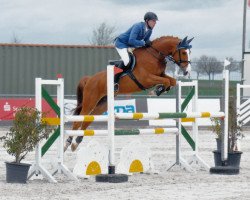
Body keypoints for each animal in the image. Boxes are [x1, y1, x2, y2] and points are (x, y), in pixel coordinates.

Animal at [64, 36, 193, 152]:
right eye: (183, 52)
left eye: (189, 52)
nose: (187, 71)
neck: (155, 55)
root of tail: (90, 79)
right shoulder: (146, 79)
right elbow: (166, 81)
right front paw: (156, 90)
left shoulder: (160, 75)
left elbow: (172, 81)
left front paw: (160, 89)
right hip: (90, 100)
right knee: (79, 119)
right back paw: (68, 143)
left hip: (103, 103)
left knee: (88, 119)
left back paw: (76, 142)